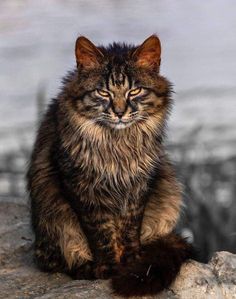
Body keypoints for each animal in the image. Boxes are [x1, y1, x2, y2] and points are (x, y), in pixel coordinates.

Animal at [27, 35, 194, 298]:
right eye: (103, 92)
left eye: (134, 90)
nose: (119, 112)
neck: (118, 146)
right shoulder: (82, 190)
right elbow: (101, 236)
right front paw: (109, 268)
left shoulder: (138, 187)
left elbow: (130, 231)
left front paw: (132, 262)